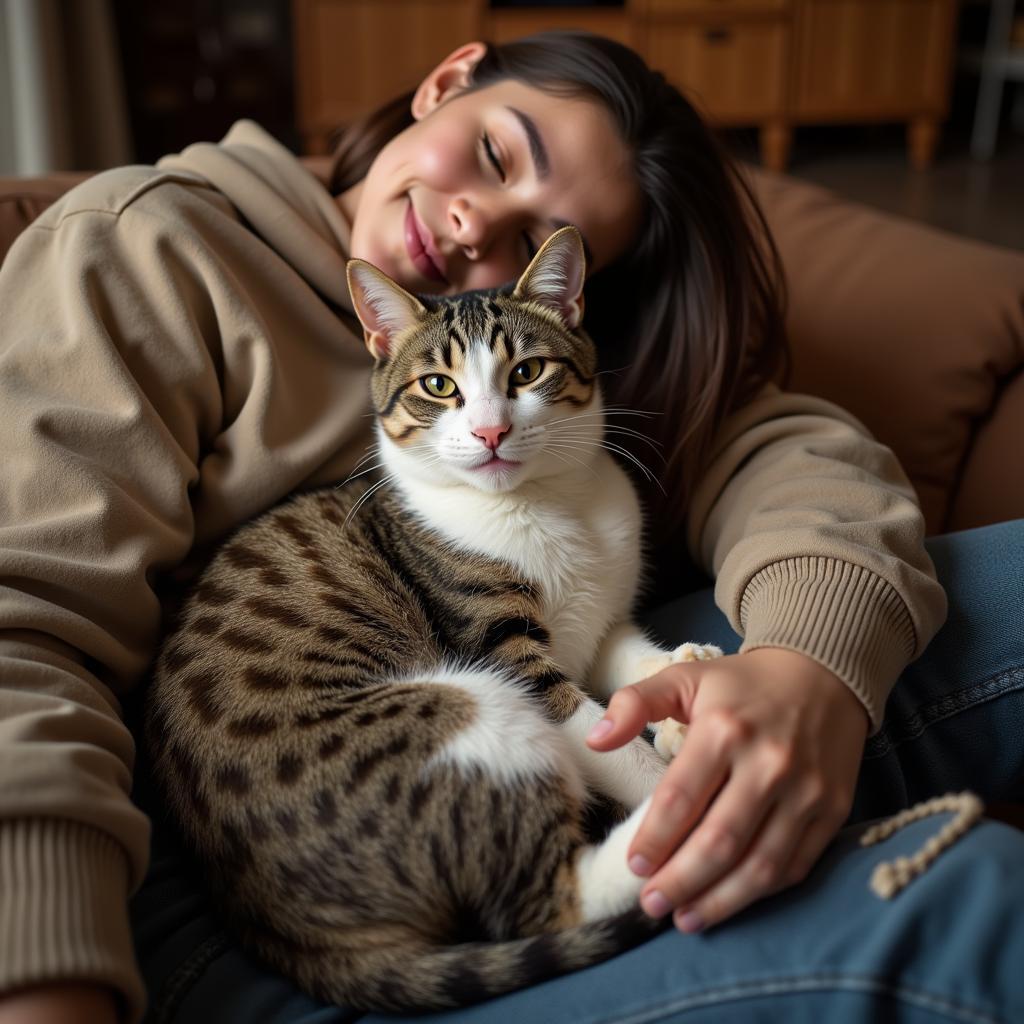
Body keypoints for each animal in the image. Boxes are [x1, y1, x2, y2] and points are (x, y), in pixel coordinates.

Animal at [142, 228, 720, 1011]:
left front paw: (682, 677)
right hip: (470, 712)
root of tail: (279, 928)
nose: (490, 431)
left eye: (527, 371)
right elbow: (599, 733)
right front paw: (669, 777)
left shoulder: (594, 620)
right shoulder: (500, 643)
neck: (550, 506)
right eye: (439, 387)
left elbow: (624, 657)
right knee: (547, 904)